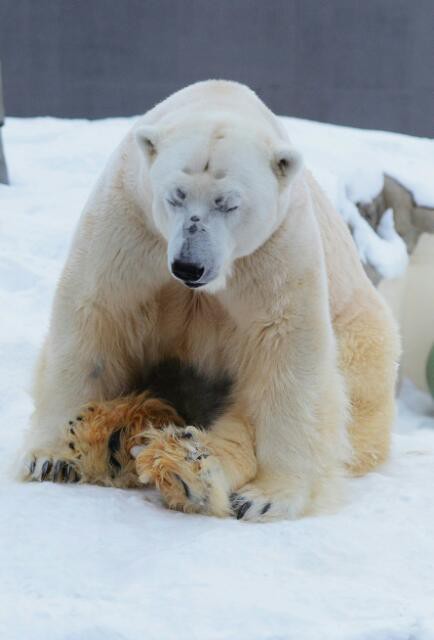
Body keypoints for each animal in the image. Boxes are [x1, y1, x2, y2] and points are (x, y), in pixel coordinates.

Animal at [19, 81, 400, 520]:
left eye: (229, 203)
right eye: (175, 196)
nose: (189, 266)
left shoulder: (274, 251)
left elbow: (285, 351)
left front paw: (268, 496)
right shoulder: (129, 226)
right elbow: (95, 320)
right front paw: (53, 458)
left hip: (363, 339)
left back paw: (182, 464)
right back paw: (120, 436)